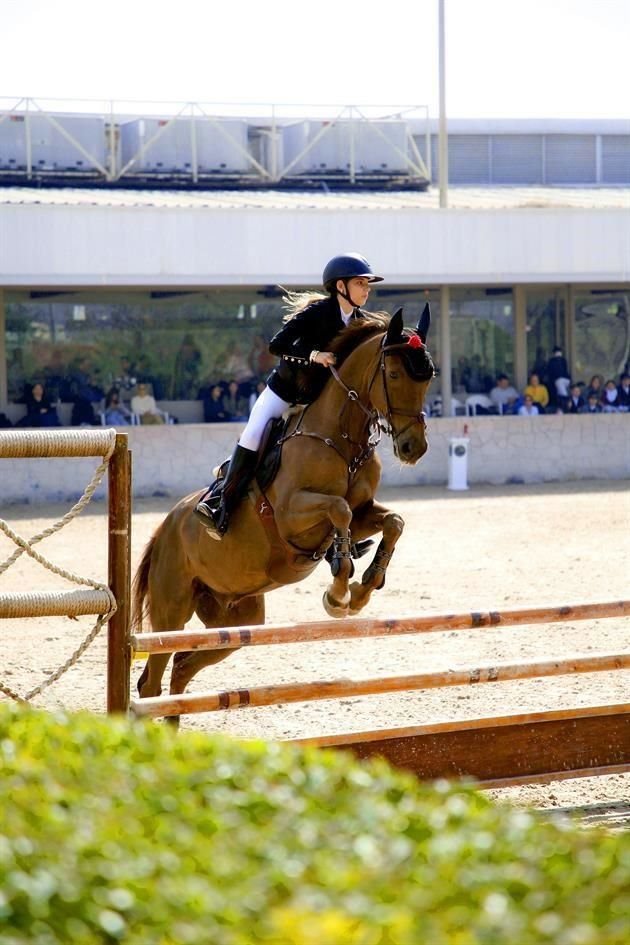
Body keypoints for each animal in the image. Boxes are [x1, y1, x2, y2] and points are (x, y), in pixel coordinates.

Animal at [133, 306, 436, 704]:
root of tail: (163, 528)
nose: (413, 449)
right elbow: (339, 509)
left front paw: (363, 589)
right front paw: (338, 594)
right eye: (395, 374)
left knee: (182, 668)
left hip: (237, 621)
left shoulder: (363, 512)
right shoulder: (291, 514)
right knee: (151, 680)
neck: (341, 437)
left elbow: (392, 521)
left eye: (429, 378)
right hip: (172, 611)